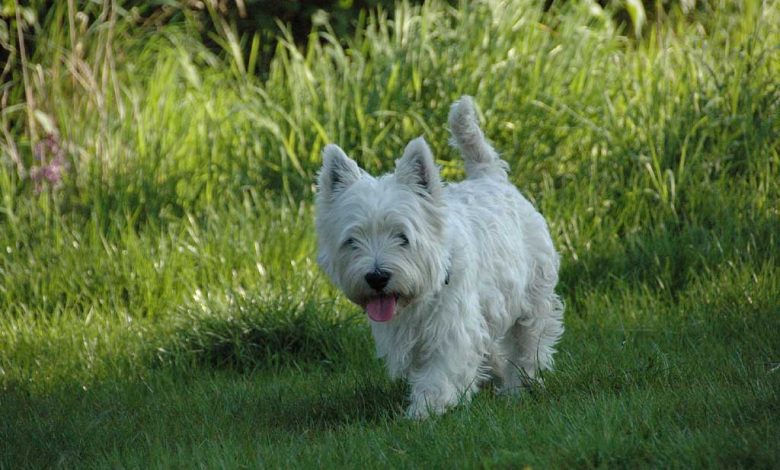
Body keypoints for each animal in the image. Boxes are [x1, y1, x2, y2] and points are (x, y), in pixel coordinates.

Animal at [314, 96, 564, 418]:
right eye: (352, 241)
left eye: (403, 237)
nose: (377, 277)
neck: (417, 298)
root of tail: (491, 176)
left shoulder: (453, 326)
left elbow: (441, 372)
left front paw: (424, 411)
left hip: (534, 294)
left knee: (529, 341)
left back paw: (519, 387)